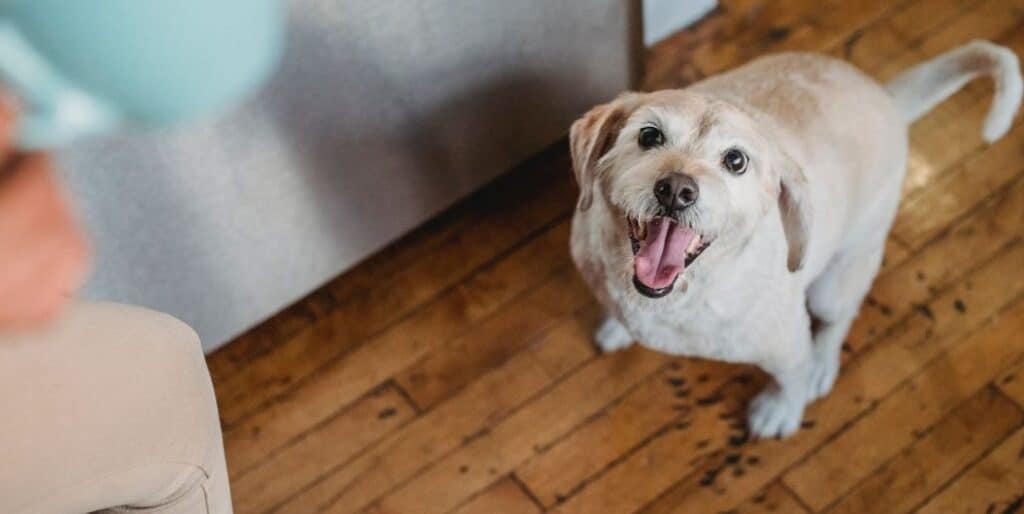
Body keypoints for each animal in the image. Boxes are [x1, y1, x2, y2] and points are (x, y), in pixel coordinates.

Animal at [569, 42, 1024, 440]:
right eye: (649, 136)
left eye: (736, 160)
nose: (677, 190)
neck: (681, 296)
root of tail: (887, 97)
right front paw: (616, 327)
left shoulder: (787, 345)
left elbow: (792, 378)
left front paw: (781, 409)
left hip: (832, 286)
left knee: (840, 317)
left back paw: (823, 364)